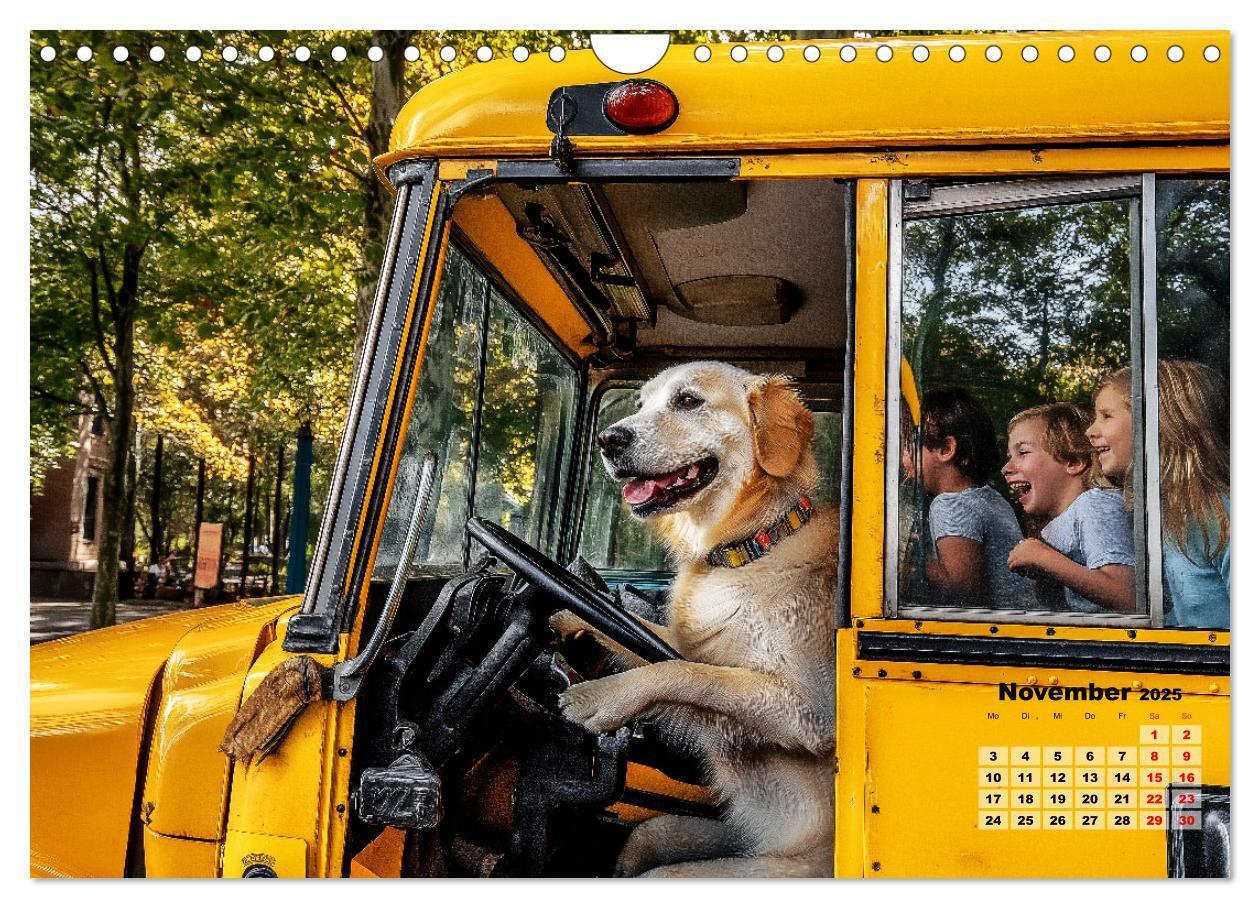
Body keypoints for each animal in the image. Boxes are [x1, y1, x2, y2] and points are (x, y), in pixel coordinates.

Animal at [559, 360, 836, 876]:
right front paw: (565, 614)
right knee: (644, 838)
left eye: (688, 401)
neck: (744, 549)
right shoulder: (666, 638)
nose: (608, 439)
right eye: (640, 403)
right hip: (675, 834)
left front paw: (599, 696)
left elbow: (690, 673)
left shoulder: (807, 711)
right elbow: (640, 633)